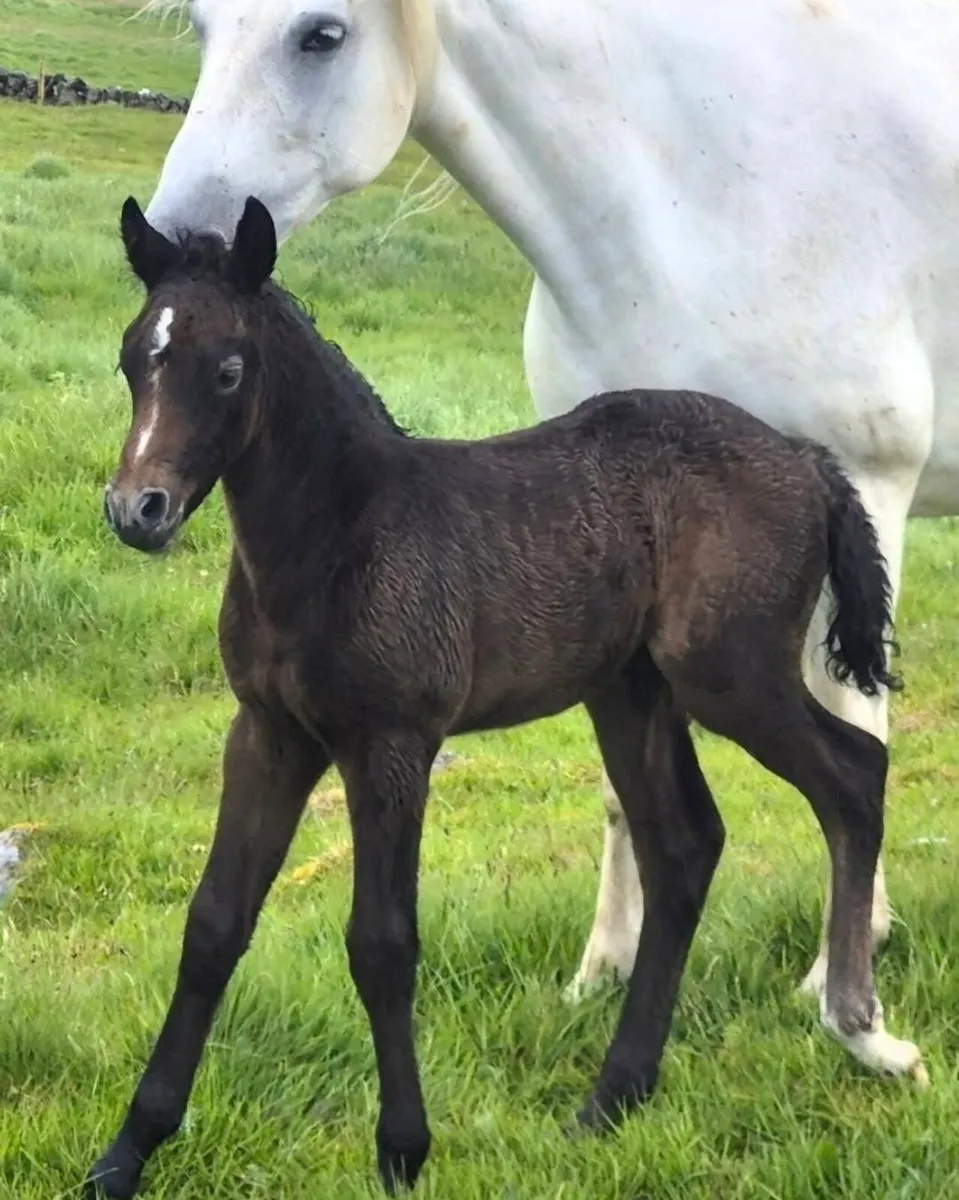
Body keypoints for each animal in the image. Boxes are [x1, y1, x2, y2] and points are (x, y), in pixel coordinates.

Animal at [88, 195, 921, 1198]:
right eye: (133, 357)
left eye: (227, 369)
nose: (138, 510)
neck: (337, 536)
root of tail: (804, 460)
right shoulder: (268, 733)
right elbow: (214, 923)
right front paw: (126, 1153)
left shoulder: (393, 742)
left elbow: (382, 942)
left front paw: (402, 1150)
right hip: (630, 693)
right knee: (685, 844)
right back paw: (611, 1098)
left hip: (731, 674)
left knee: (853, 773)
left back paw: (862, 1032)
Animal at [140, 0, 959, 1025]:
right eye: (200, 27)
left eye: (321, 35)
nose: (176, 243)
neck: (702, 206)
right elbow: (624, 792)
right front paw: (602, 967)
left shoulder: (868, 492)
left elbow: (859, 733)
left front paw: (838, 976)